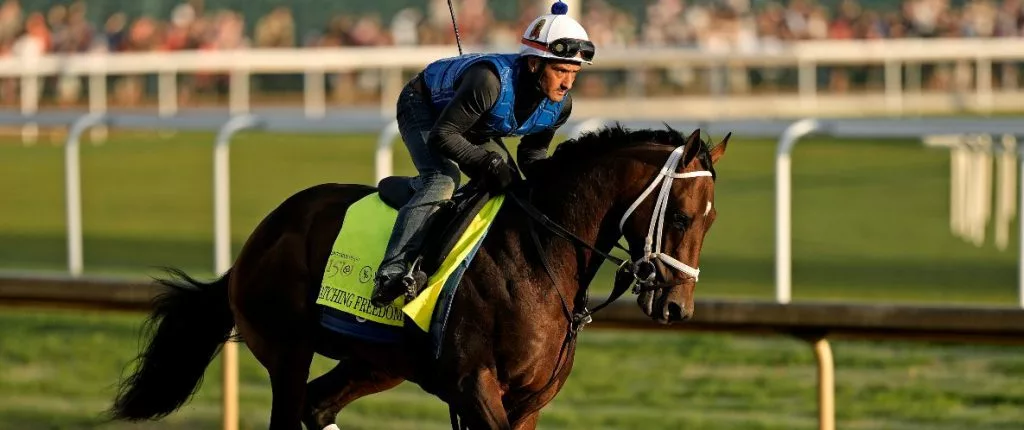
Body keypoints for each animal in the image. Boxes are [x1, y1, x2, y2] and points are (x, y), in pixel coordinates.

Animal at [108, 125, 729, 430]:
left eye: (711, 218)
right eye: (680, 216)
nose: (677, 307)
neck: (539, 256)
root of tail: (255, 244)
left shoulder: (529, 401)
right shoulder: (474, 384)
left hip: (377, 361)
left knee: (318, 407)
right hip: (287, 349)